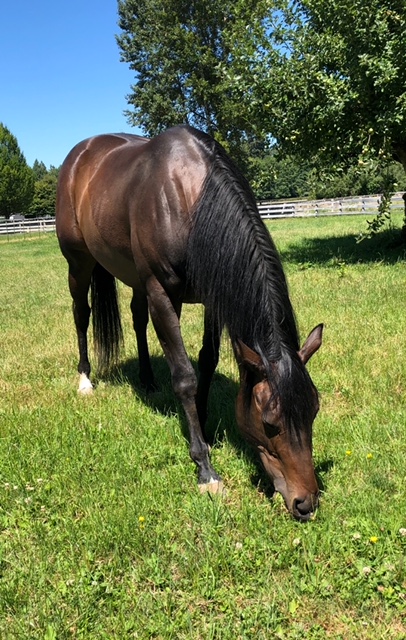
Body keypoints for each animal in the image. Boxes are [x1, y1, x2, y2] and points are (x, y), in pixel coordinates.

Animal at [56, 124, 324, 520]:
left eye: (314, 412)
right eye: (269, 422)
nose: (305, 503)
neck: (191, 199)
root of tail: (81, 153)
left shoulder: (214, 292)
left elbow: (208, 360)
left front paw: (205, 424)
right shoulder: (162, 294)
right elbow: (184, 376)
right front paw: (205, 468)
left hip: (133, 278)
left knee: (137, 319)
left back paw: (147, 380)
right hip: (79, 263)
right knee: (81, 314)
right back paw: (85, 379)